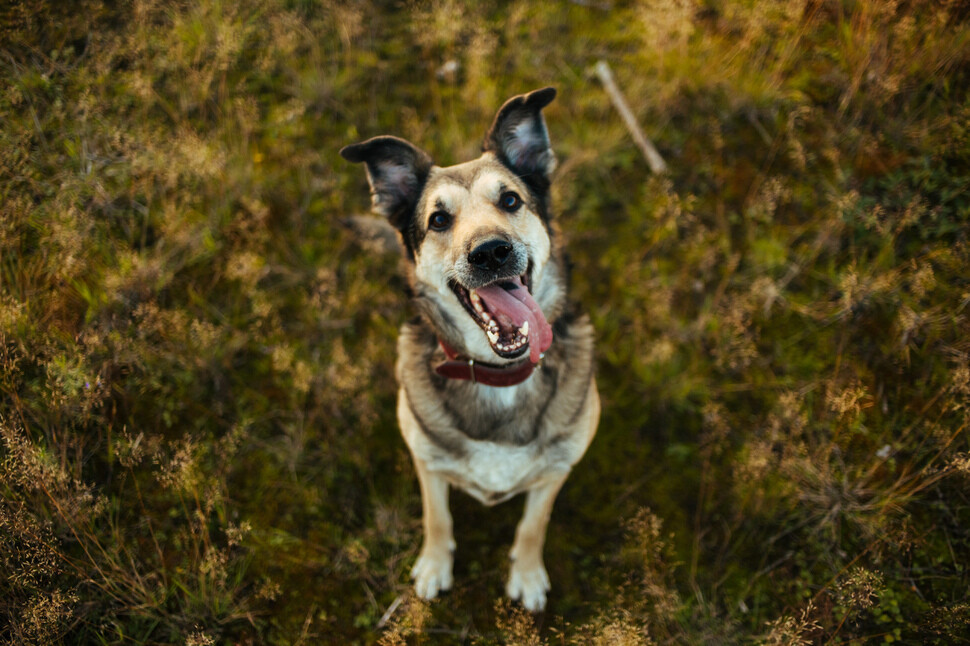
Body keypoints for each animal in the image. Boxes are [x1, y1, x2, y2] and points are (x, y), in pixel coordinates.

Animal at [340, 88, 596, 616]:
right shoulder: (426, 461)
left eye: (510, 199)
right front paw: (435, 566)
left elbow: (533, 524)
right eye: (438, 220)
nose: (491, 252)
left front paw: (527, 574)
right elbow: (437, 517)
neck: (500, 374)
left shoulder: (558, 469)